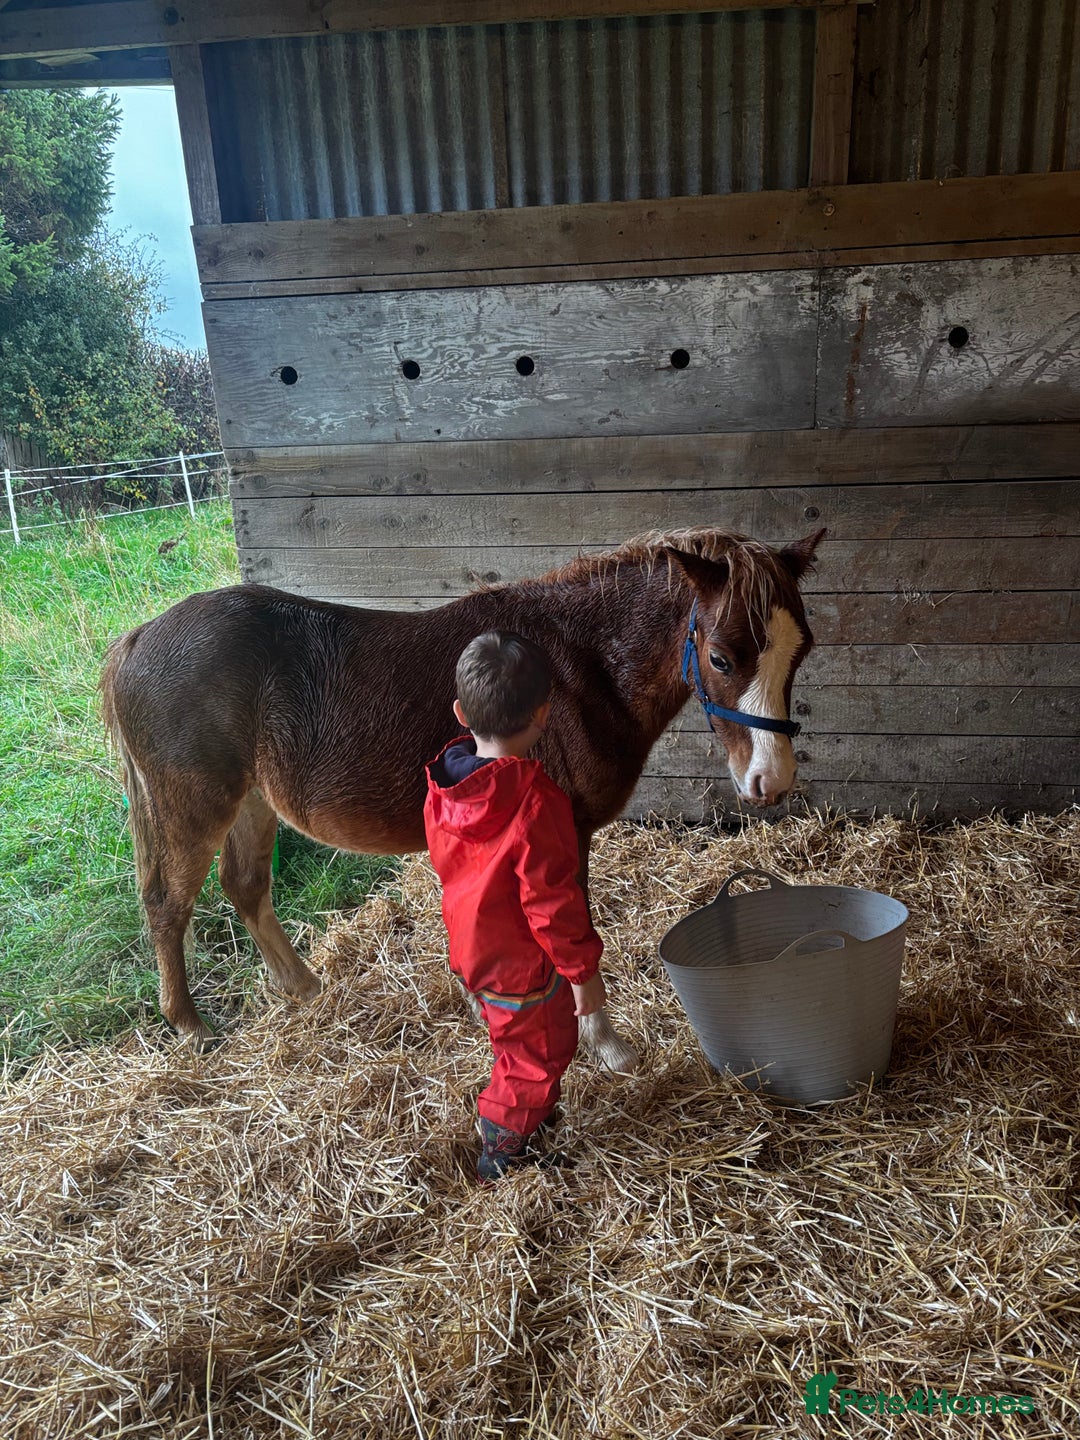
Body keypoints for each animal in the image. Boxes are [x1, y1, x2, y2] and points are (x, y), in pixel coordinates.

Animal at [101, 525, 824, 1069]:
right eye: (722, 657)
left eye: (802, 651)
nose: (772, 781)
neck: (577, 668)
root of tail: (136, 639)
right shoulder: (561, 833)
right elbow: (572, 937)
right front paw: (603, 1043)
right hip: (195, 805)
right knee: (167, 904)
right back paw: (190, 1027)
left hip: (252, 801)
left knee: (246, 886)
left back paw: (305, 988)